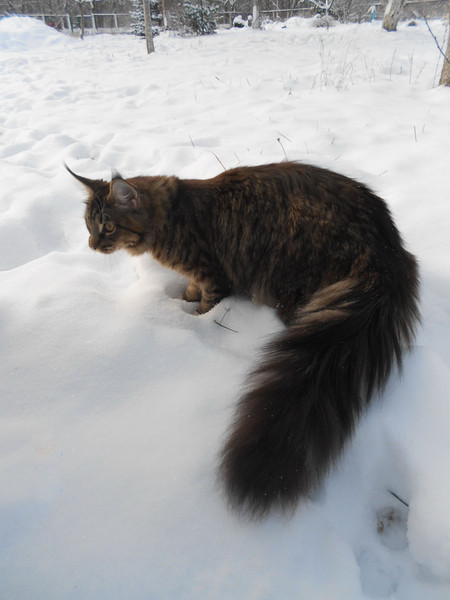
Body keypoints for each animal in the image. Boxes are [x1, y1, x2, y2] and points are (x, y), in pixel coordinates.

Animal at [67, 162, 422, 516]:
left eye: (108, 226)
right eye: (88, 224)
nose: (92, 244)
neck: (172, 216)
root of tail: (384, 245)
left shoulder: (214, 276)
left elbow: (205, 307)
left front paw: (191, 319)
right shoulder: (198, 275)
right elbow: (190, 291)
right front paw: (182, 301)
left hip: (291, 278)